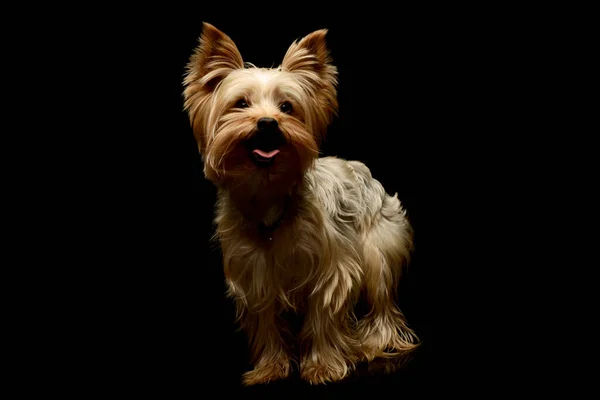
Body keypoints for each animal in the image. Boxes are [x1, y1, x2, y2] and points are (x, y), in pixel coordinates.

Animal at [185, 21, 420, 384]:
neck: (267, 194)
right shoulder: (254, 277)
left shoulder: (332, 270)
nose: (268, 122)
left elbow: (322, 318)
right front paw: (269, 367)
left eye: (287, 107)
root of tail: (365, 172)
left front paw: (321, 365)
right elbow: (266, 322)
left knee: (382, 303)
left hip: (378, 249)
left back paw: (371, 345)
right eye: (240, 104)